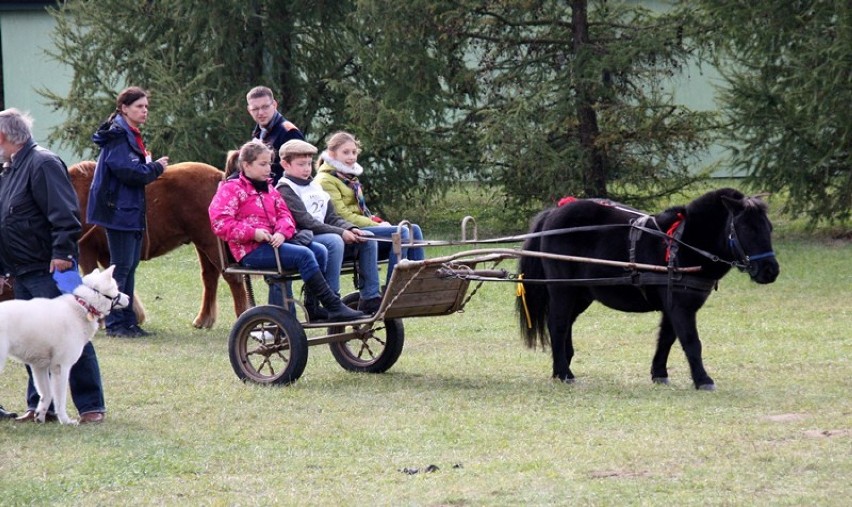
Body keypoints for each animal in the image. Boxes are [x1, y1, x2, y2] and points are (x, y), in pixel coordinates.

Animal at [0, 266, 128, 424]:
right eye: (116, 289)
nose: (128, 298)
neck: (83, 305)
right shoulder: (61, 367)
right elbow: (60, 399)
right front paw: (65, 420)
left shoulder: (39, 367)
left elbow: (47, 394)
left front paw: (40, 416)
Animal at [68, 162, 248, 330]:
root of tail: (219, 177)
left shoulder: (87, 250)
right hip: (203, 245)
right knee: (209, 277)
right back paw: (204, 319)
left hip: (210, 244)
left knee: (232, 278)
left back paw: (241, 315)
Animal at [520, 189, 780, 390]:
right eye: (747, 228)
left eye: (769, 228)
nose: (771, 271)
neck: (684, 243)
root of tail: (552, 213)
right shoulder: (680, 306)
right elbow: (691, 341)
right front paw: (703, 379)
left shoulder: (673, 305)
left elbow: (667, 338)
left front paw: (659, 374)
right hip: (562, 289)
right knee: (558, 325)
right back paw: (564, 373)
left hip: (581, 293)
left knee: (565, 325)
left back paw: (561, 369)